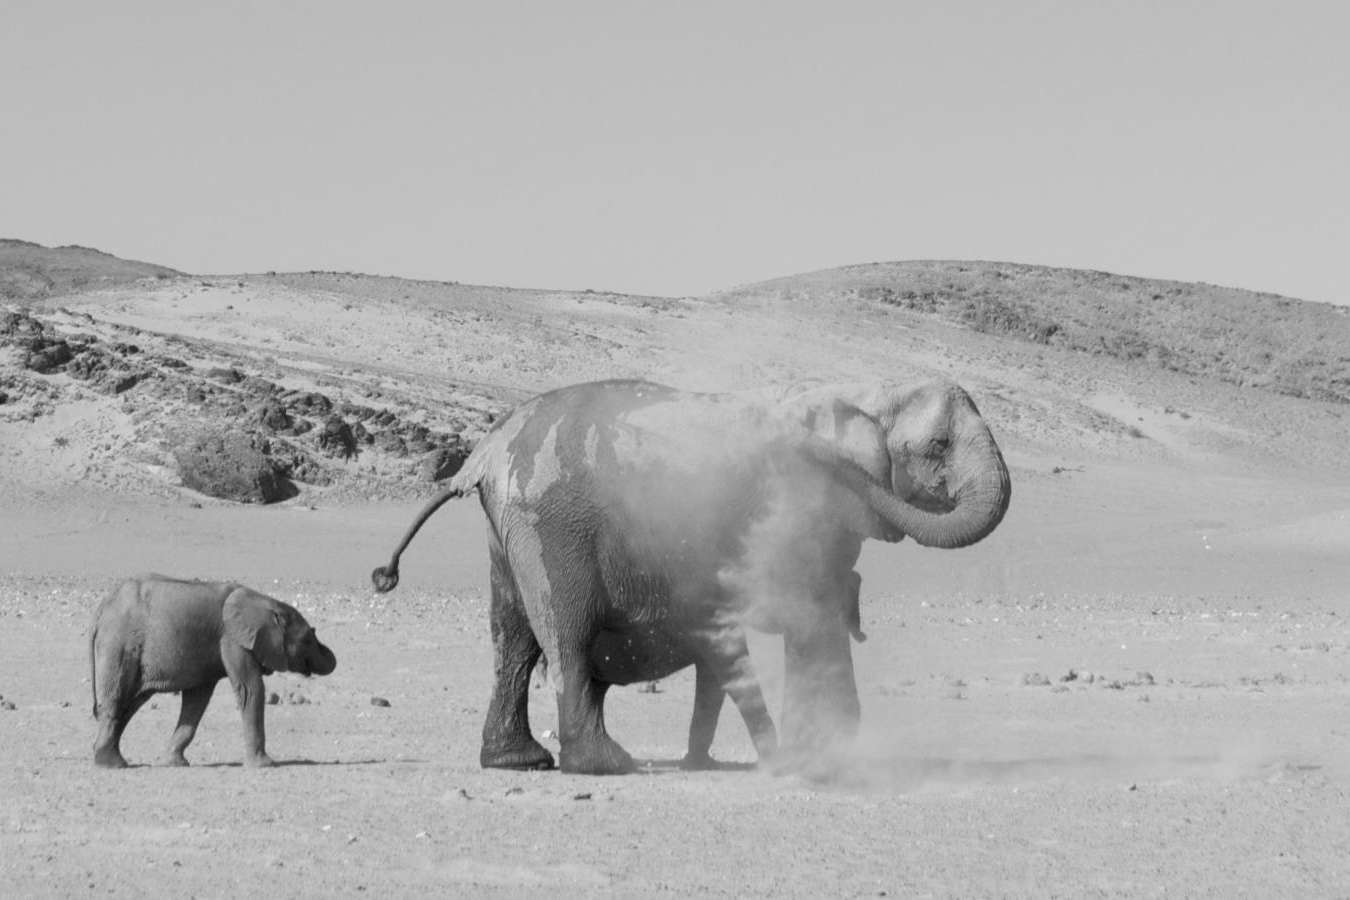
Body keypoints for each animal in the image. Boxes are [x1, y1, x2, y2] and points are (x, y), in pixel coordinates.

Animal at [89, 574, 337, 768]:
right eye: (308, 639)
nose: (330, 655)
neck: (266, 602)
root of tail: (101, 609)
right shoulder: (232, 639)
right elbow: (251, 689)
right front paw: (265, 765)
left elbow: (197, 700)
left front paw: (175, 763)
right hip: (119, 644)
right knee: (116, 697)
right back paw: (111, 764)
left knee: (132, 702)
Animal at [371, 377, 1010, 775]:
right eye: (939, 445)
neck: (864, 390)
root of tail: (483, 456)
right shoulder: (803, 510)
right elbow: (813, 620)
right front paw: (821, 758)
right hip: (551, 528)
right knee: (565, 637)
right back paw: (605, 766)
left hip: (508, 532)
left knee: (513, 641)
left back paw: (517, 762)